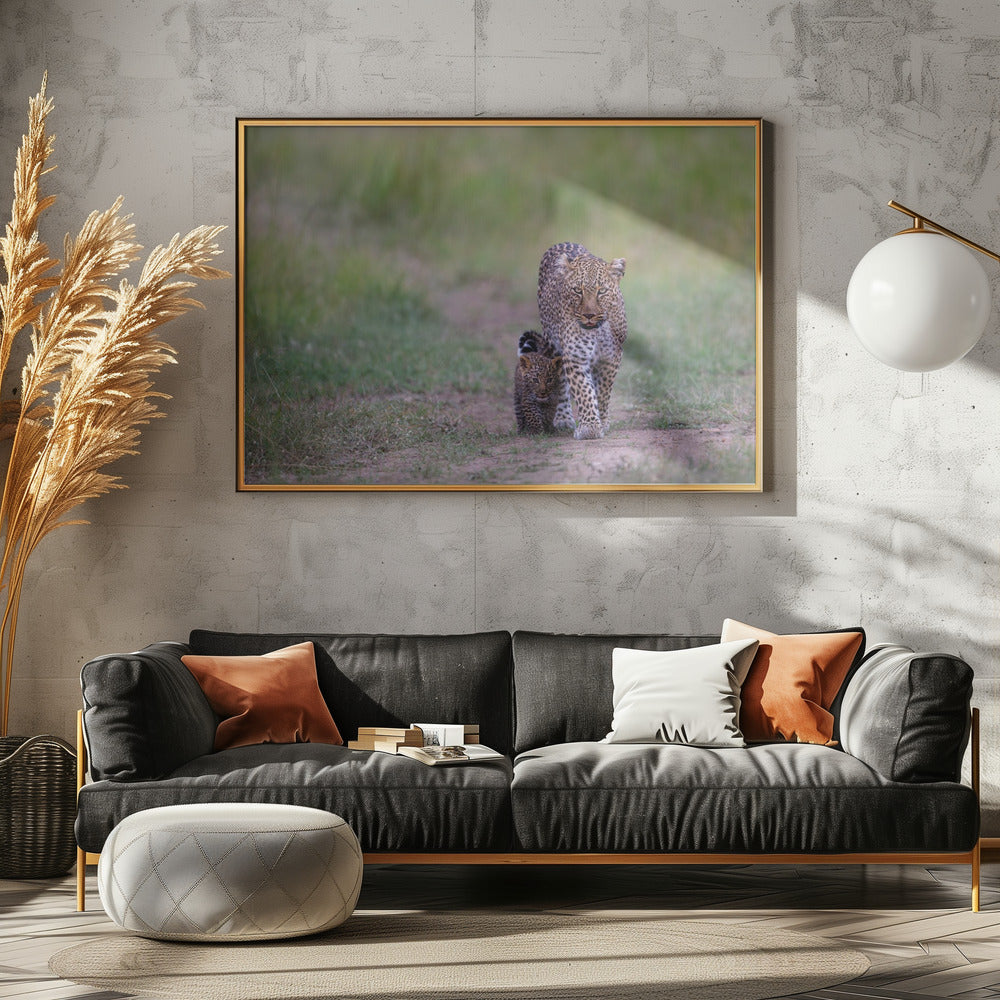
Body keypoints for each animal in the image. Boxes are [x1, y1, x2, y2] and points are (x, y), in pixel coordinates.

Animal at [537, 241, 627, 440]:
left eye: (602, 291)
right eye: (578, 290)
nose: (589, 315)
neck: (598, 331)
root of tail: (564, 242)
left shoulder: (611, 357)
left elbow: (602, 391)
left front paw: (602, 420)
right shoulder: (575, 356)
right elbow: (584, 391)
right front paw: (590, 427)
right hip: (552, 345)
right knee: (561, 383)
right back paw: (563, 418)